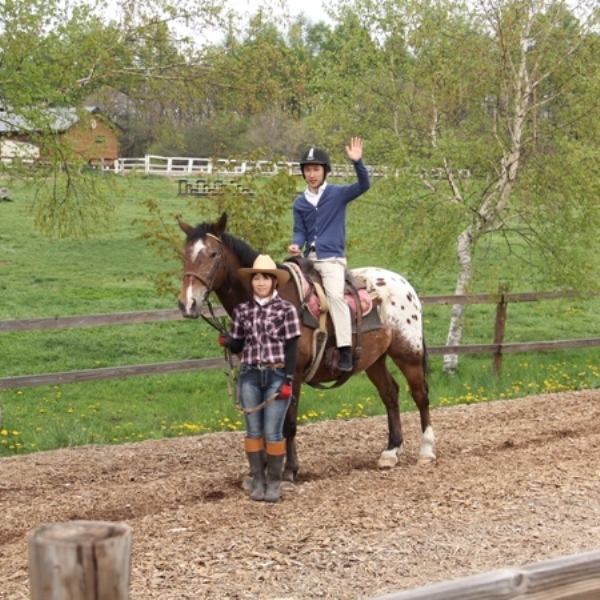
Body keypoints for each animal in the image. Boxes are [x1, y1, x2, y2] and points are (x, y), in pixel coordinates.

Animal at [178, 211, 436, 482]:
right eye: (184, 255)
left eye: (213, 254)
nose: (187, 303)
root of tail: (403, 284)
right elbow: (263, 423)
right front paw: (263, 469)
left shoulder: (293, 374)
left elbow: (288, 424)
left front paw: (289, 470)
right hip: (374, 359)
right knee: (390, 394)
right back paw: (391, 452)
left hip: (408, 353)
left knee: (420, 395)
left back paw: (426, 451)